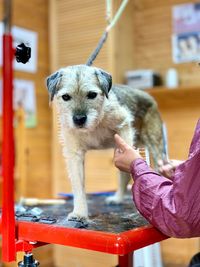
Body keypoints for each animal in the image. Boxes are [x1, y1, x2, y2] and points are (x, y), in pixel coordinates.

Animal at [46, 64, 165, 222]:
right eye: (66, 97)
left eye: (92, 95)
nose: (79, 119)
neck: (95, 123)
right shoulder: (74, 155)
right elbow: (78, 186)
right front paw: (79, 212)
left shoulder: (124, 126)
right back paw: (118, 198)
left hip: (154, 144)